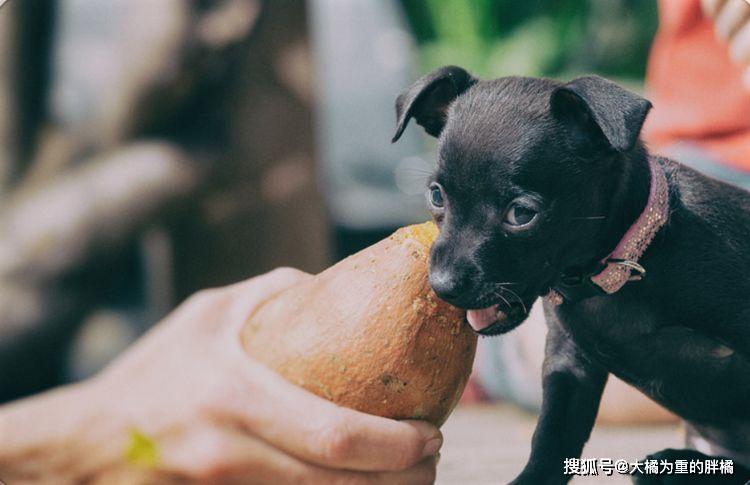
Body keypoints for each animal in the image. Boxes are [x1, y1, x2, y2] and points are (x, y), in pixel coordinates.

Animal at [394, 66, 750, 482]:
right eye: (437, 195)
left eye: (521, 214)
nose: (442, 286)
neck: (615, 275)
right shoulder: (569, 361)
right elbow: (554, 435)